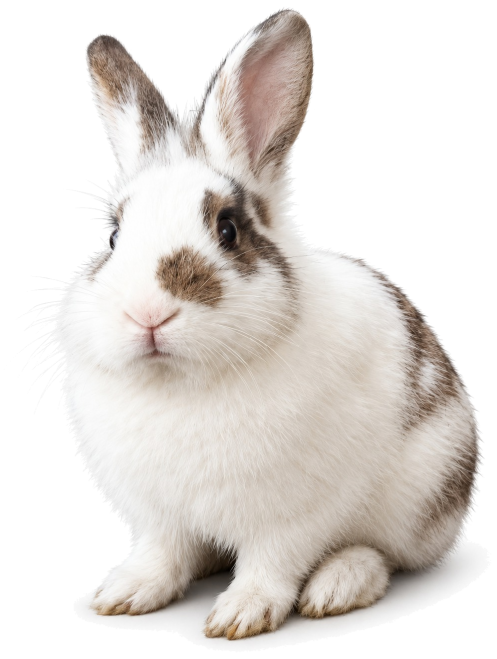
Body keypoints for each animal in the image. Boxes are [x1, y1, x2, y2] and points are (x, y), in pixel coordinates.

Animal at [51, 8, 480, 639]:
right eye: (112, 234)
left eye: (228, 229)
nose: (147, 313)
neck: (180, 386)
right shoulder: (157, 516)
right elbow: (162, 555)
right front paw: (123, 596)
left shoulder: (291, 516)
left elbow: (271, 563)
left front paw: (241, 615)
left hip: (420, 496)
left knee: (386, 555)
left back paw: (339, 585)